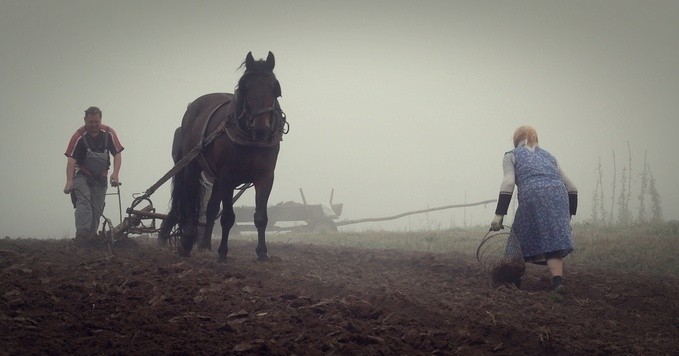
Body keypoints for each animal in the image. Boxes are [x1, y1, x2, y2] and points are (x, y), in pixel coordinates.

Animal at [171, 51, 288, 262]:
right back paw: (187, 240)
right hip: (192, 165)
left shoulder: (265, 177)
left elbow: (261, 216)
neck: (251, 140)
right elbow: (227, 217)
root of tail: (193, 106)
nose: (261, 129)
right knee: (190, 199)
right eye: (245, 87)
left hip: (216, 178)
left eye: (275, 88)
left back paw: (204, 244)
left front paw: (262, 253)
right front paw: (223, 253)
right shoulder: (228, 177)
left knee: (210, 209)